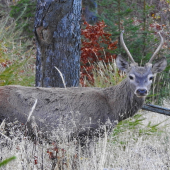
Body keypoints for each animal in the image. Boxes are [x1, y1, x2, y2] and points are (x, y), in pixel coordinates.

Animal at [0, 30, 166, 146]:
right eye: (130, 76)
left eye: (151, 77)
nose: (141, 90)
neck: (113, 108)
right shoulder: (87, 133)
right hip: (10, 128)